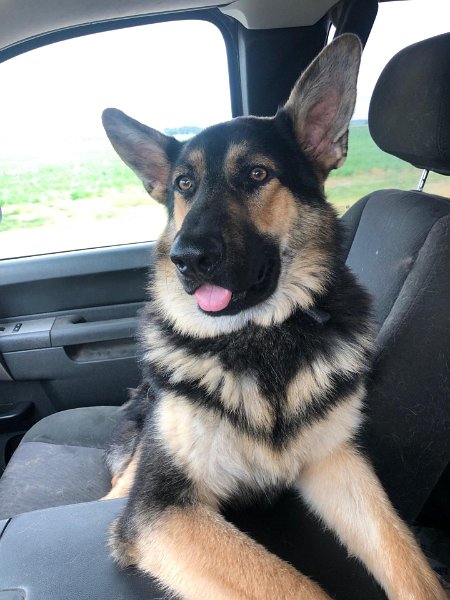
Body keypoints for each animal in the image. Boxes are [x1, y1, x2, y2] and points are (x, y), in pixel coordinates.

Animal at [101, 34, 442, 600]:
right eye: (184, 185)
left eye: (256, 175)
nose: (186, 259)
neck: (259, 338)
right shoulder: (161, 510)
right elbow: (290, 586)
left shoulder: (336, 460)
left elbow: (406, 557)